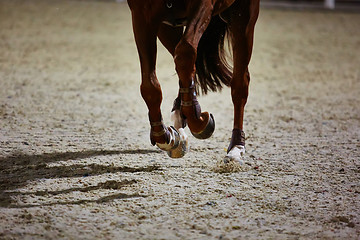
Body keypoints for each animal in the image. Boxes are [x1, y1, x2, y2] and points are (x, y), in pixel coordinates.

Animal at [128, 0, 260, 161]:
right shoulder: (142, 14)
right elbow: (150, 85)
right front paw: (165, 136)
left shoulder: (203, 5)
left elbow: (185, 52)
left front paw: (198, 121)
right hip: (168, 26)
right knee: (185, 61)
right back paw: (179, 112)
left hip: (243, 16)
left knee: (240, 83)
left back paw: (236, 147)